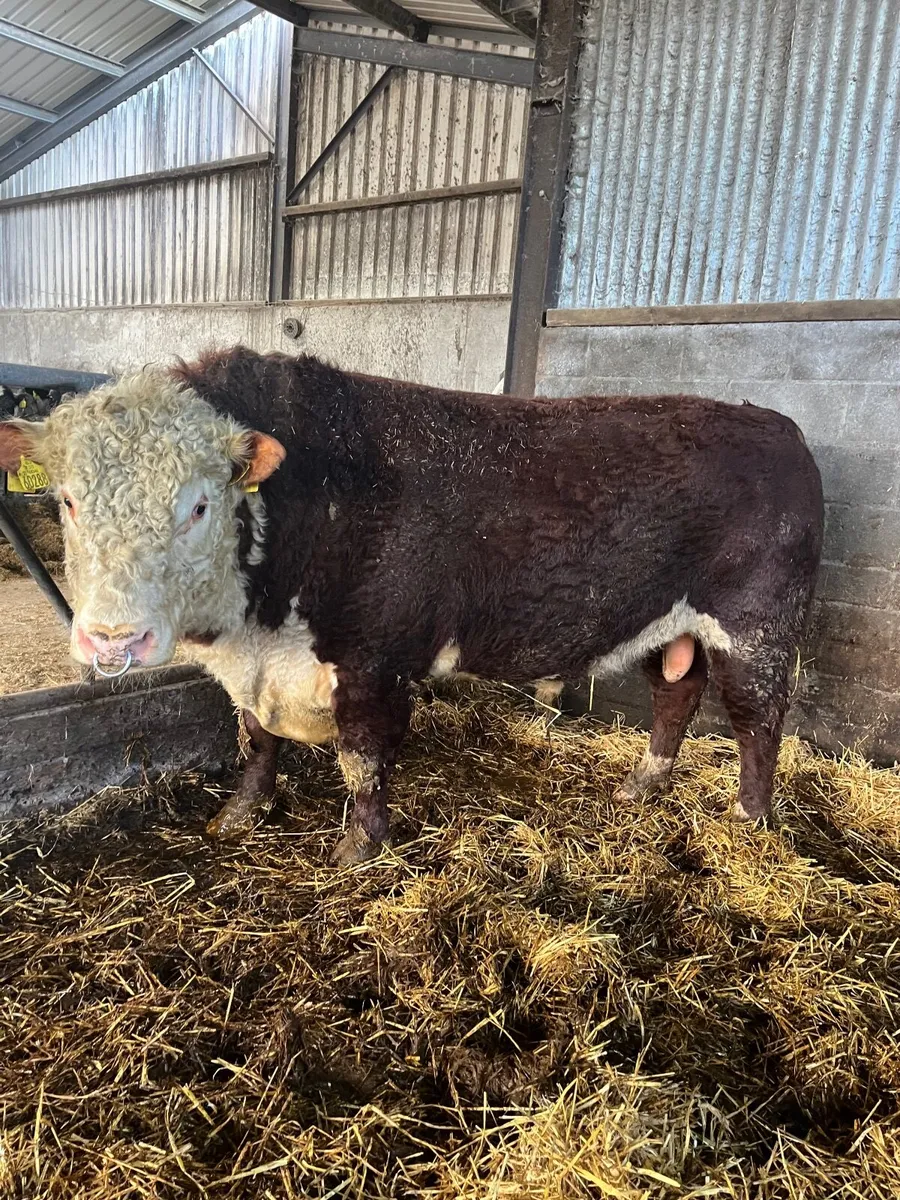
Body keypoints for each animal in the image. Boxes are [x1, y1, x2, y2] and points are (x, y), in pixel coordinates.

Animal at [0, 348, 824, 863]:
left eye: (199, 505)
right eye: (67, 500)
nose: (114, 640)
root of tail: (776, 424)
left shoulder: (374, 657)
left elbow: (362, 758)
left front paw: (358, 849)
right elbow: (255, 740)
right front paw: (239, 816)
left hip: (760, 625)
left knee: (756, 719)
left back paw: (750, 819)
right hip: (667, 622)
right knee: (677, 692)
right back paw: (643, 782)